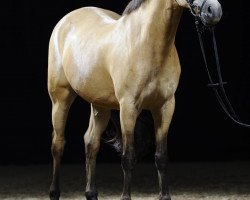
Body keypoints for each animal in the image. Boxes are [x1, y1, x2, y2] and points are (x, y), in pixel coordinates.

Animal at [47, 0, 222, 198]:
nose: (214, 11)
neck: (146, 45)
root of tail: (66, 20)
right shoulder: (128, 107)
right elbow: (128, 157)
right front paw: (125, 196)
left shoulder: (165, 106)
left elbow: (161, 157)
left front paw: (165, 196)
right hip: (61, 98)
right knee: (58, 144)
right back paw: (54, 192)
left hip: (100, 105)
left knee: (91, 142)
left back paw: (91, 193)